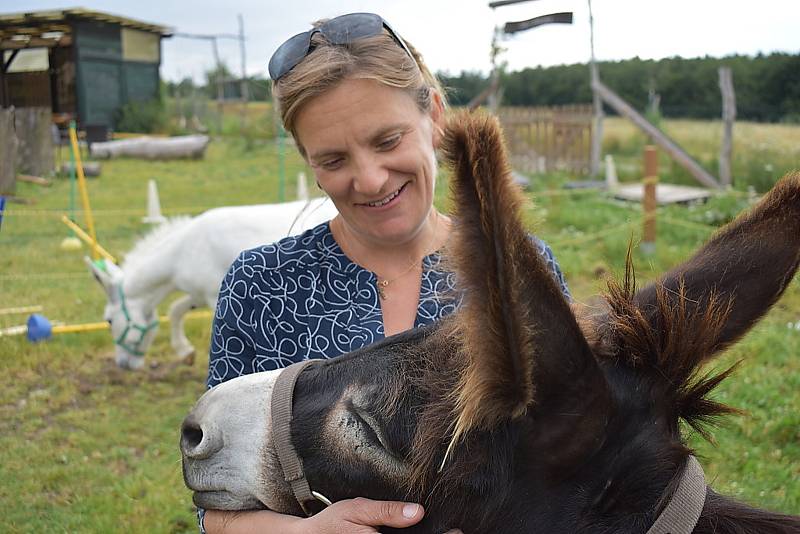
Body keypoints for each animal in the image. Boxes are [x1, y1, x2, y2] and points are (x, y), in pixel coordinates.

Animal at [87, 198, 338, 372]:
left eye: (109, 321)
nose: (123, 365)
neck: (182, 251)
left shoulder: (214, 297)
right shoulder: (199, 293)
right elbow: (176, 310)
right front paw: (186, 352)